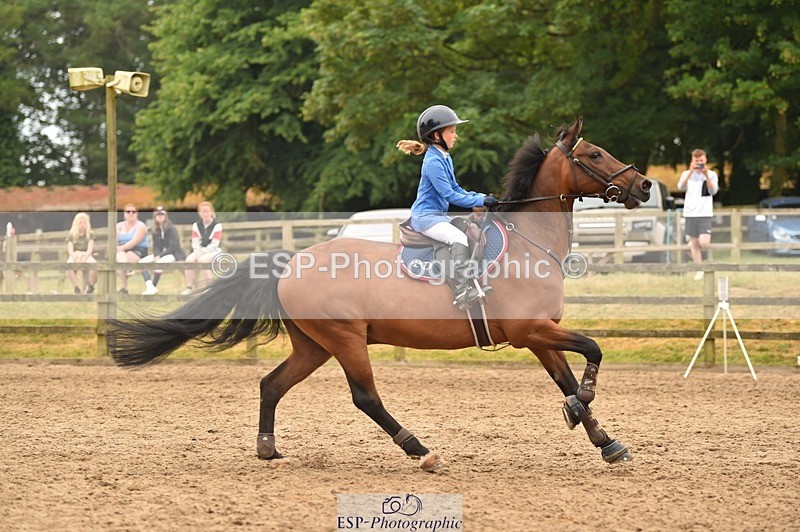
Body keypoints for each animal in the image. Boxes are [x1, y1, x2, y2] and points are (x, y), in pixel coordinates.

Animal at [108, 117, 651, 472]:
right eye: (595, 154)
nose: (644, 185)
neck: (528, 241)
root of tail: (291, 262)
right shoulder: (530, 330)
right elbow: (592, 352)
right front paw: (583, 405)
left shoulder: (541, 334)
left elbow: (566, 377)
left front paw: (604, 439)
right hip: (345, 340)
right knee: (365, 397)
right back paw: (420, 450)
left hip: (313, 345)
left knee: (271, 385)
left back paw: (268, 447)